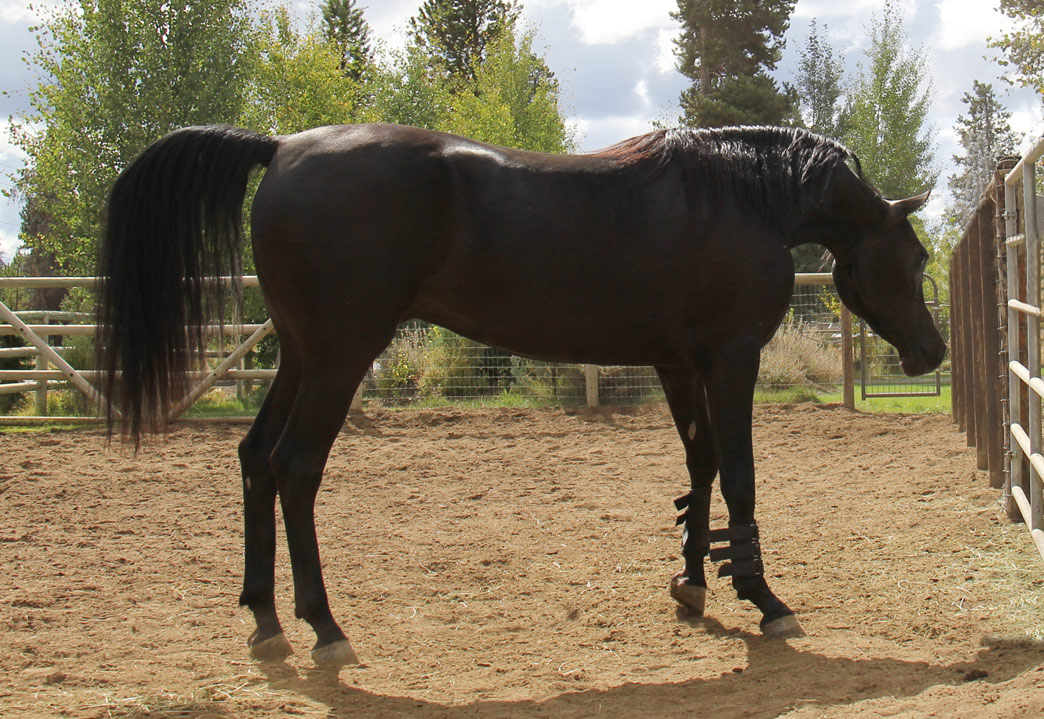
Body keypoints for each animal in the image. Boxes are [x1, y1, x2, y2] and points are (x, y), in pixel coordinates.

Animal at [96, 123, 946, 666]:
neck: (735, 196)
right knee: (295, 466)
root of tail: (282, 148)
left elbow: (699, 468)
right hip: (339, 357)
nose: (932, 351)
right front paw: (764, 596)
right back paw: (324, 625)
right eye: (914, 256)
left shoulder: (678, 363)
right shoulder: (730, 359)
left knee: (254, 460)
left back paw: (265, 617)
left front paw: (693, 579)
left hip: (303, 354)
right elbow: (738, 475)